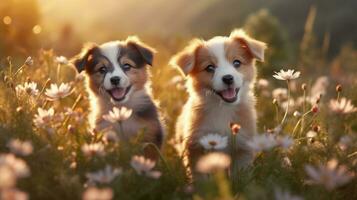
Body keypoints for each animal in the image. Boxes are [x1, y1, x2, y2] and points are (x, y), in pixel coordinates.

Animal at [170, 28, 268, 173]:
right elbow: (200, 176)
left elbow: (240, 174)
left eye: (237, 62)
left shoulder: (243, 146)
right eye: (209, 67)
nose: (228, 78)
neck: (223, 109)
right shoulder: (196, 146)